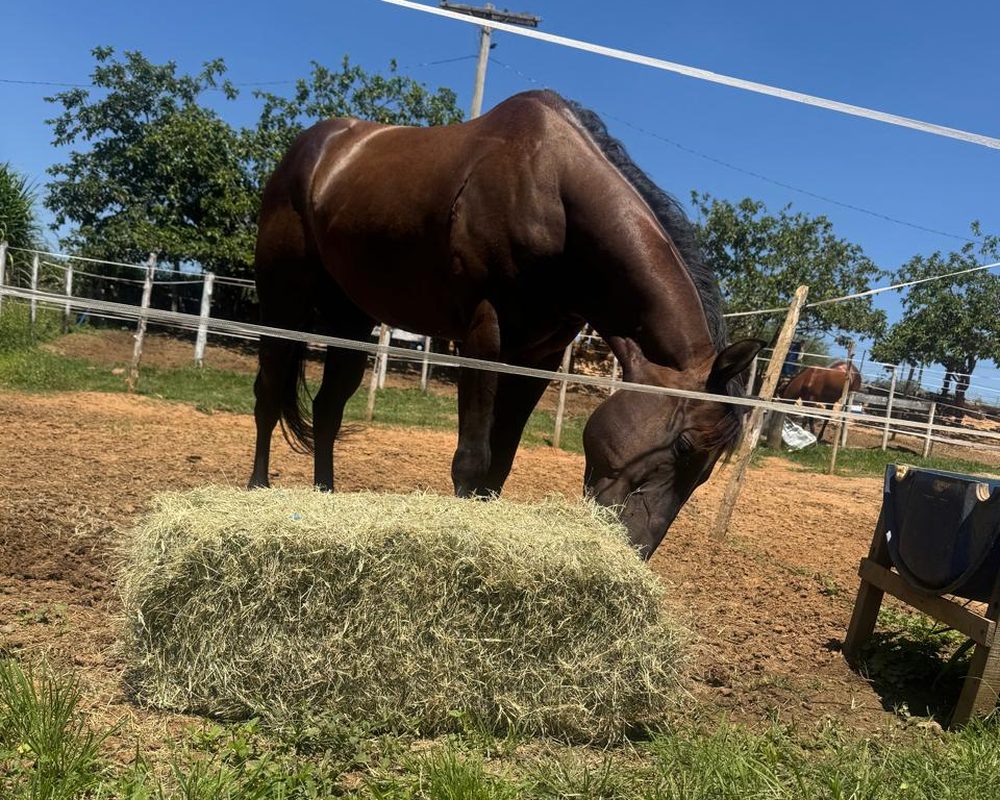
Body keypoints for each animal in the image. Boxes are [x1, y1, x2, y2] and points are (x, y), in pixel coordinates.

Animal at [247, 89, 761, 560]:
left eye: (708, 471)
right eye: (684, 447)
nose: (635, 549)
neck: (551, 191)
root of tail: (314, 147)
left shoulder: (539, 356)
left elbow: (500, 466)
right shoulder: (483, 336)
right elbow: (473, 460)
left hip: (351, 321)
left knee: (328, 411)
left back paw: (325, 497)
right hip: (282, 302)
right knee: (268, 395)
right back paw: (256, 490)